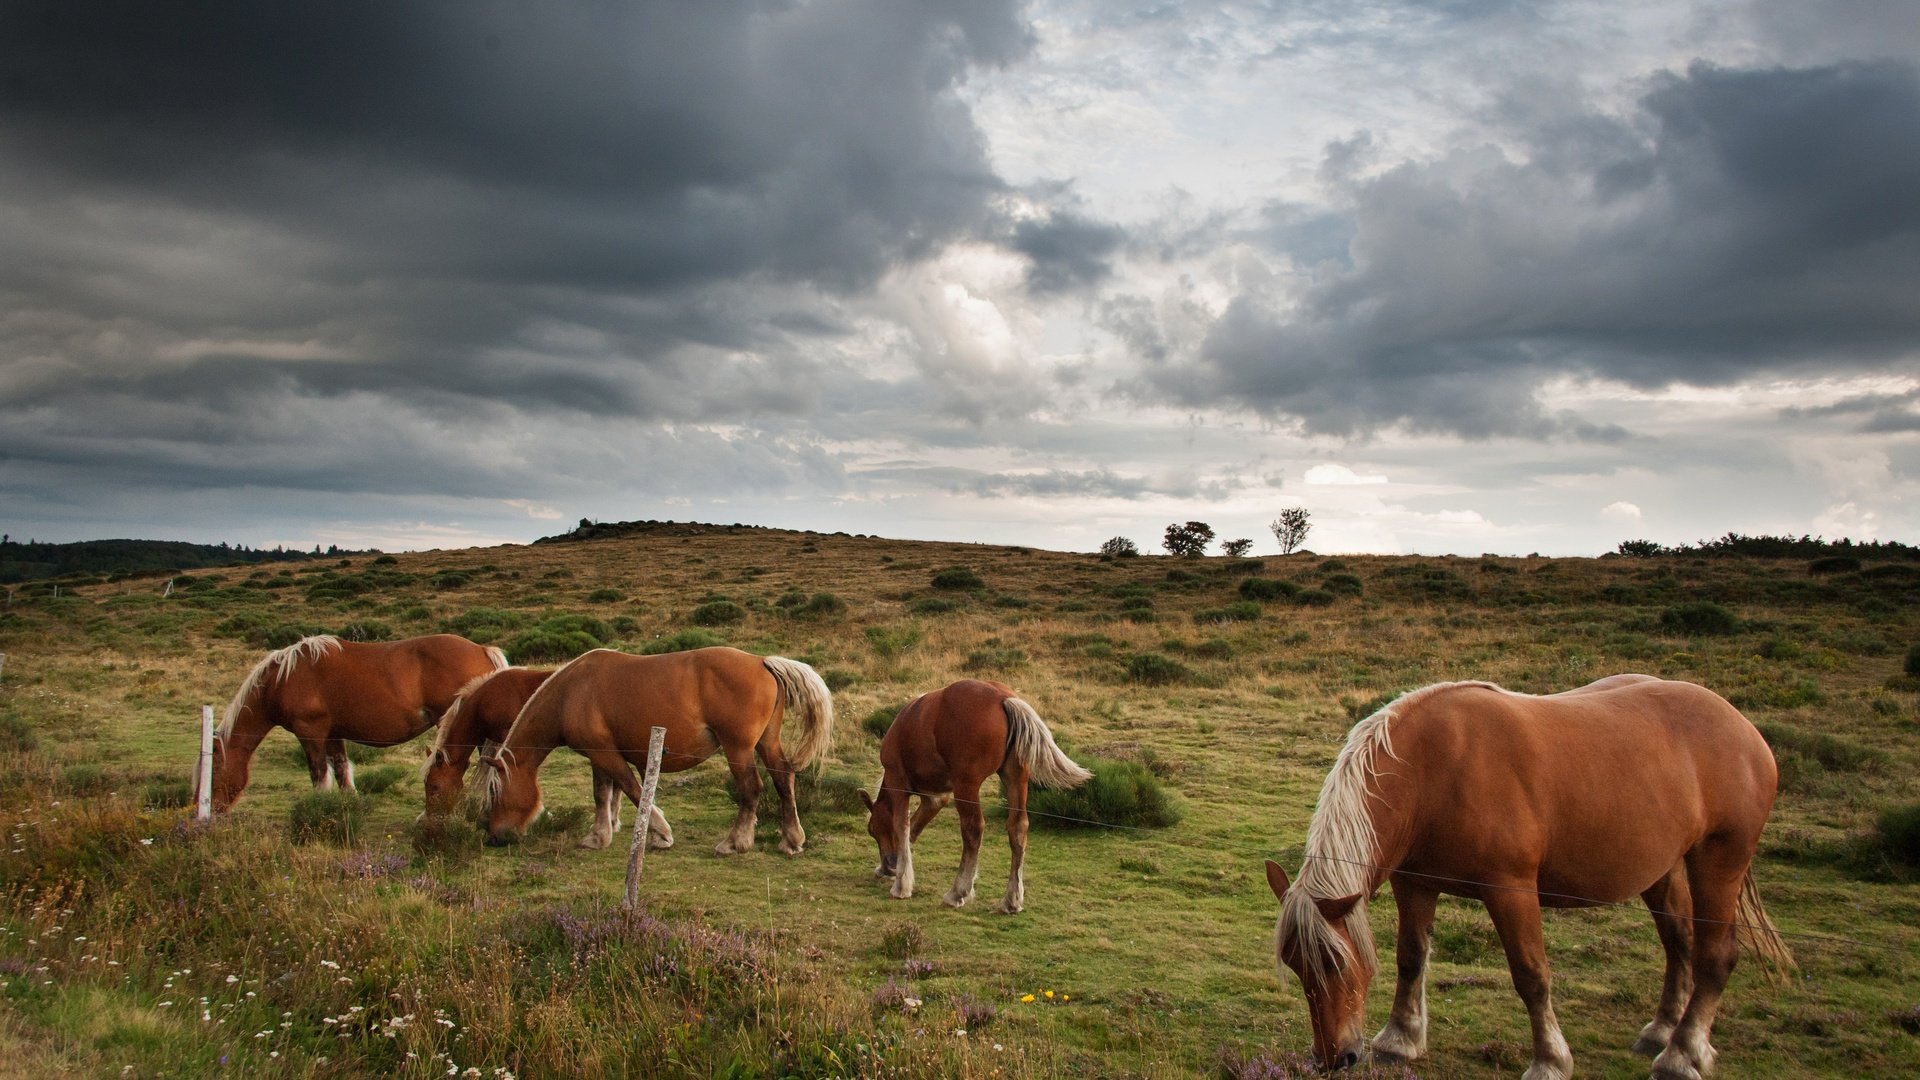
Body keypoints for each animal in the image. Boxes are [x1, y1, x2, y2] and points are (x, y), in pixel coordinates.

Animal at [203, 630, 506, 807]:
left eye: (213, 770)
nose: (212, 811)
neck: (284, 679)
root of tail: (482, 649)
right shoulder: (333, 733)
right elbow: (340, 769)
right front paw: (347, 805)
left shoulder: (310, 732)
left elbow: (319, 774)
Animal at [483, 641, 829, 853]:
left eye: (495, 793)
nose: (493, 836)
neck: (571, 692)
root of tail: (762, 661)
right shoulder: (599, 756)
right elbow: (602, 795)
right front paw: (598, 835)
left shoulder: (607, 755)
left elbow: (633, 790)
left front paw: (661, 833)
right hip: (766, 744)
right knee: (783, 778)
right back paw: (791, 840)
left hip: (739, 749)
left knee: (752, 789)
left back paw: (735, 842)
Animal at [860, 680, 1090, 907]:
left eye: (873, 830)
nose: (889, 866)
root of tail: (1003, 698)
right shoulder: (935, 798)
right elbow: (913, 829)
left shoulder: (898, 783)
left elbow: (902, 827)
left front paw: (901, 885)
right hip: (1016, 779)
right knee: (1018, 828)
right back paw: (1011, 899)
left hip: (967, 786)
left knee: (973, 829)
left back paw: (957, 892)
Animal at [1267, 672, 1789, 1076]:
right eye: (1296, 965)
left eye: (1335, 964)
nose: (1336, 1058)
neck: (1432, 772)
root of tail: (1743, 727)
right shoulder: (1414, 883)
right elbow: (1411, 958)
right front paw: (1399, 1040)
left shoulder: (1511, 889)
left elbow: (1531, 975)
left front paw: (1550, 1061)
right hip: (1663, 870)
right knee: (1678, 942)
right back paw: (1661, 1032)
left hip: (1719, 861)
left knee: (1715, 956)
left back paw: (1682, 1055)